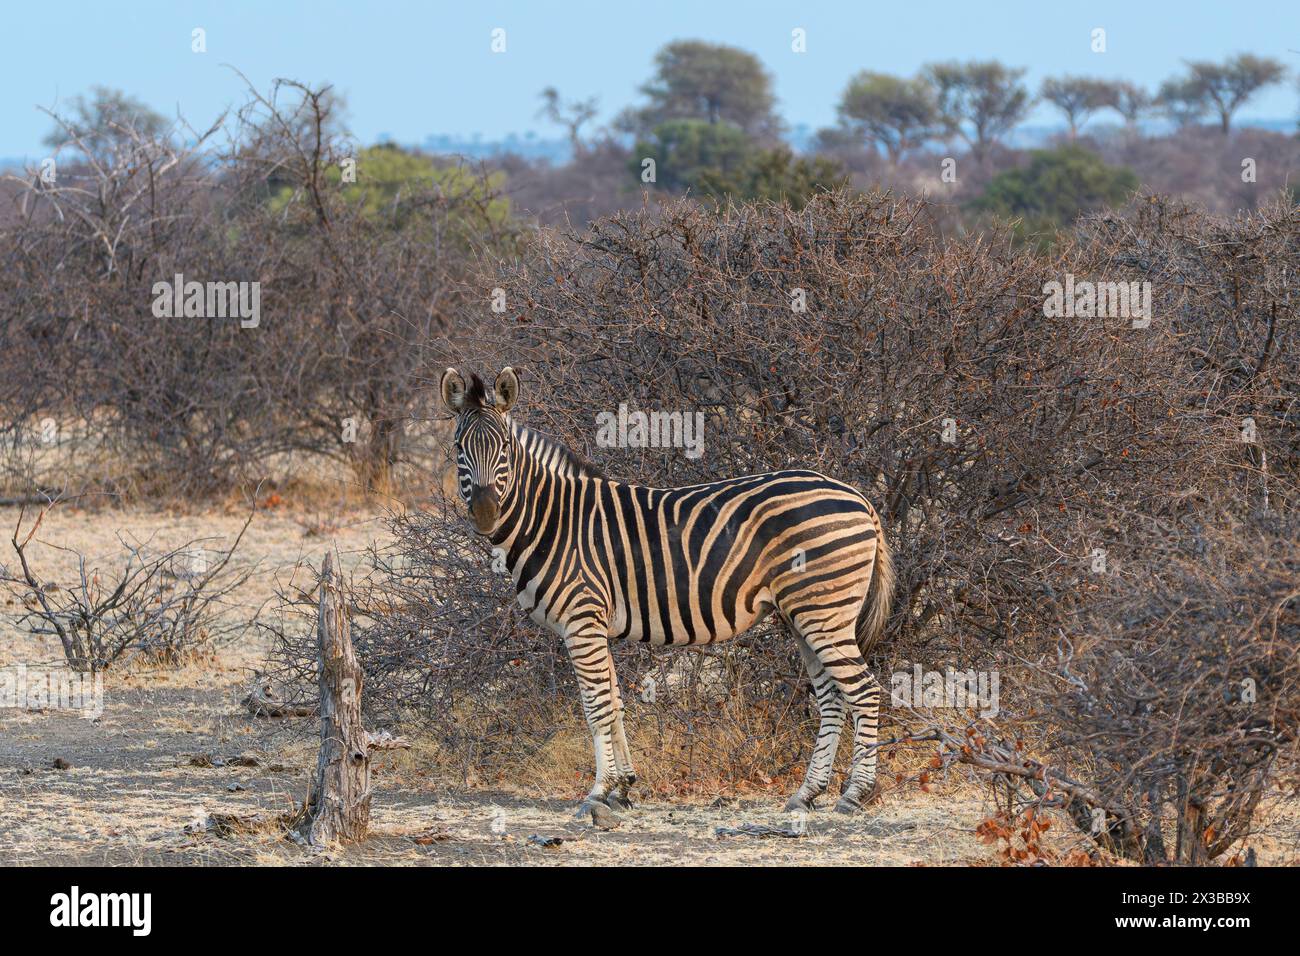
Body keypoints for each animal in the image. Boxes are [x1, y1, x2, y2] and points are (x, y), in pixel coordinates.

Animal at [439, 366, 894, 832]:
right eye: (458, 448)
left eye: (505, 449)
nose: (485, 514)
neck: (552, 520)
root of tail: (857, 496)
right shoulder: (596, 625)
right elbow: (615, 703)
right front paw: (622, 788)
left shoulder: (581, 621)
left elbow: (595, 706)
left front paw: (597, 794)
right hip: (804, 615)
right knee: (832, 697)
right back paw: (807, 794)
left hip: (824, 611)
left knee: (864, 691)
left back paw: (855, 794)